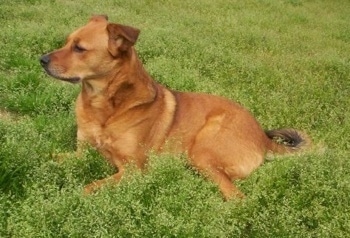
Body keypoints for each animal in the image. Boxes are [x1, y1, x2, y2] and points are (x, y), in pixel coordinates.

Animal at [39, 15, 310, 200]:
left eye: (79, 48)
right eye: (66, 42)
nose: (41, 59)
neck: (105, 107)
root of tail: (263, 138)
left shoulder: (133, 170)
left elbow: (89, 187)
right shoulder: (81, 152)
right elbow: (49, 156)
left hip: (202, 150)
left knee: (236, 197)